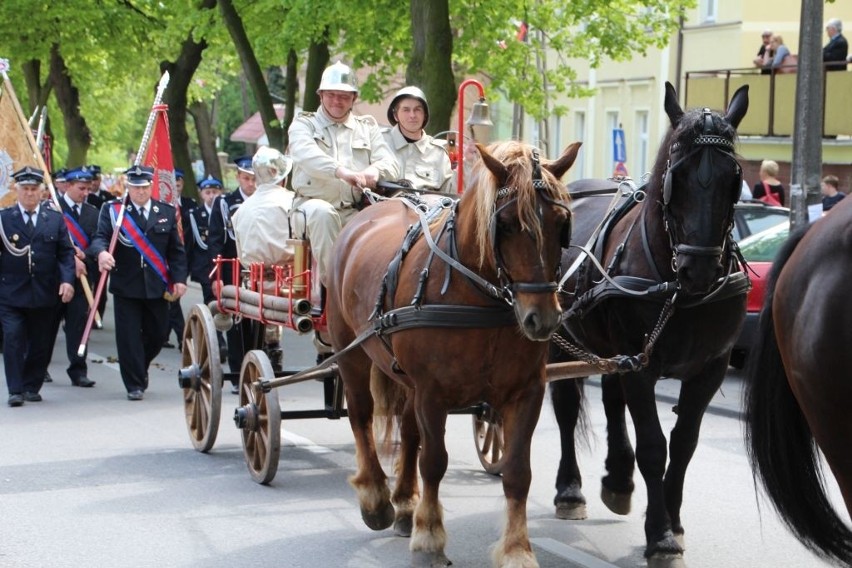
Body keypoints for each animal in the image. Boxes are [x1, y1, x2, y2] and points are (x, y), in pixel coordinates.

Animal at [324, 141, 580, 568]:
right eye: (505, 224)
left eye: (562, 224)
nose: (542, 319)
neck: (479, 295)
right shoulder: (432, 393)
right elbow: (434, 462)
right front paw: (430, 538)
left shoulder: (526, 392)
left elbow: (517, 472)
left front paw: (517, 549)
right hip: (352, 353)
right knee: (361, 417)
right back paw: (376, 499)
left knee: (409, 431)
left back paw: (404, 504)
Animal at [548, 82, 748, 560]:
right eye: (677, 175)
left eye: (734, 179)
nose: (699, 269)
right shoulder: (641, 368)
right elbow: (655, 448)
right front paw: (660, 536)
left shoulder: (709, 370)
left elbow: (684, 445)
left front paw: (673, 522)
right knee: (565, 408)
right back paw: (571, 490)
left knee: (610, 399)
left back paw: (618, 479)